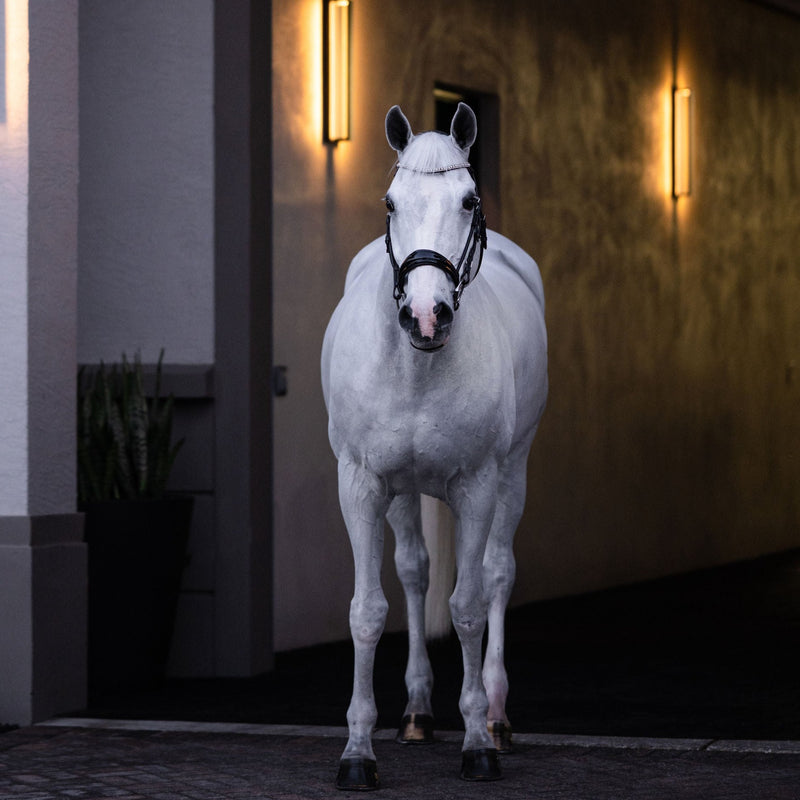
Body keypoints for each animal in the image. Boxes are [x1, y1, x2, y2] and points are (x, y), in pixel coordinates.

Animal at [322, 103, 548, 792]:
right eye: (390, 203)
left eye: (469, 200)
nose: (427, 314)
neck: (417, 367)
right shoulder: (362, 484)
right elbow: (368, 612)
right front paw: (357, 751)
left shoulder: (477, 485)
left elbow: (470, 606)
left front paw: (476, 744)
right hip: (402, 493)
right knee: (415, 572)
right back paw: (418, 711)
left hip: (511, 475)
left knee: (497, 572)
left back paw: (495, 717)